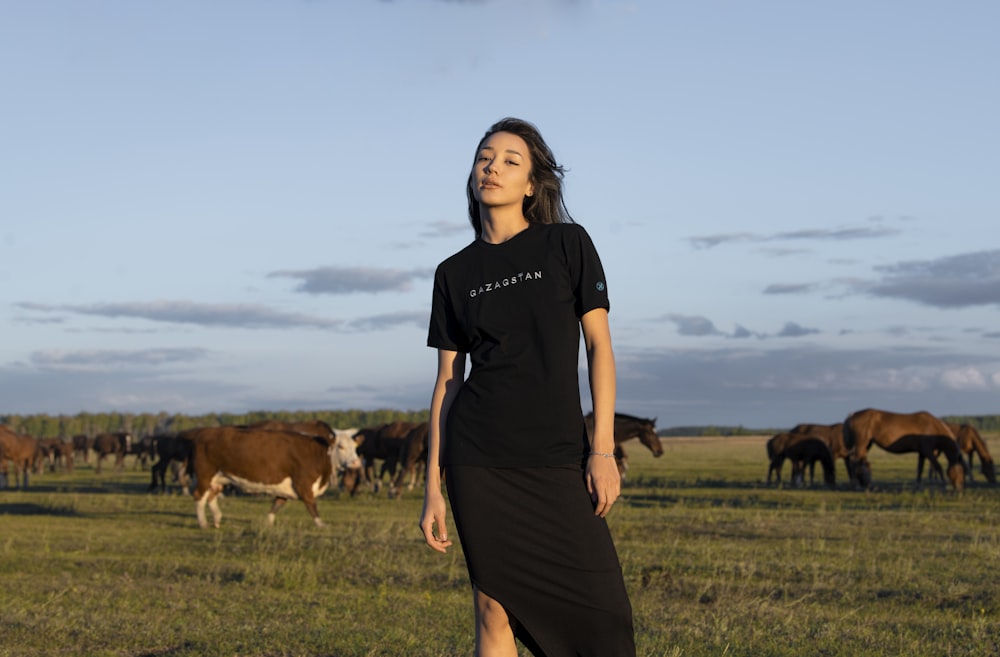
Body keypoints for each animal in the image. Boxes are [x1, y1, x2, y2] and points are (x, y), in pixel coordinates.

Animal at [186, 426, 362, 528]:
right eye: (341, 446)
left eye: (355, 447)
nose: (356, 462)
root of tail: (203, 433)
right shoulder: (302, 482)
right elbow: (311, 504)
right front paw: (321, 524)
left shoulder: (286, 487)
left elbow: (277, 504)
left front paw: (268, 522)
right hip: (204, 474)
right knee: (199, 496)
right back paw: (203, 523)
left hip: (220, 477)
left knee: (211, 496)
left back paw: (216, 519)